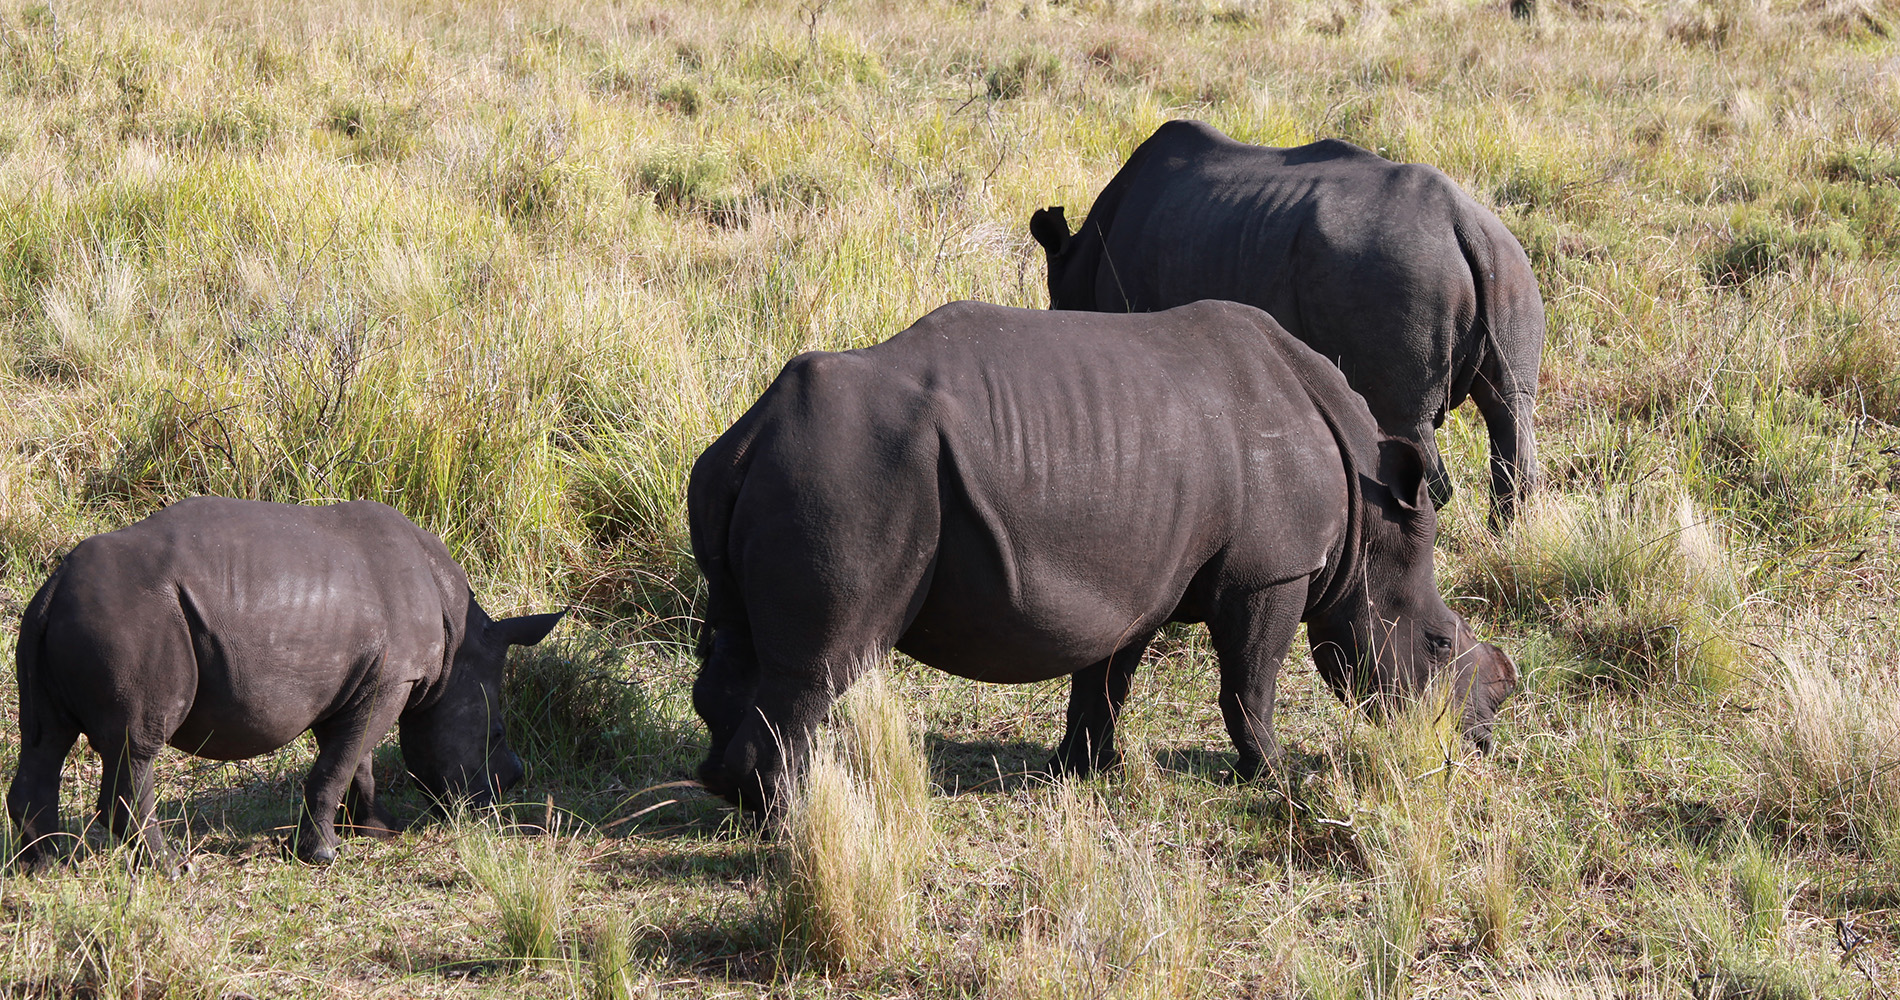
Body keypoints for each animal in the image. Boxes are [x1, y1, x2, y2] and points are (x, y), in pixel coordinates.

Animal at [13, 498, 562, 870]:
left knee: (46, 740)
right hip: (131, 619)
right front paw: (323, 854)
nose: (492, 803)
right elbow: (339, 764)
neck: (459, 646)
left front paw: (375, 832)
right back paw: (170, 869)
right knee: (137, 745)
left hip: (57, 620)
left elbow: (353, 760)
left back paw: (41, 866)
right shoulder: (393, 679)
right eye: (495, 736)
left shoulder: (359, 681)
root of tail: (53, 585)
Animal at [684, 300, 1512, 813]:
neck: (1367, 515)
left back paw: (729, 794)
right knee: (820, 670)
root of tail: (755, 432)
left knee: (740, 642)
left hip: (766, 471)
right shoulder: (1272, 571)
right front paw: (1271, 776)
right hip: (848, 479)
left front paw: (1086, 770)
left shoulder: (1138, 574)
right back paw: (795, 823)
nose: (1480, 737)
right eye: (1438, 644)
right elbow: (1251, 678)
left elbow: (1107, 676)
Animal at [1041, 119, 1542, 524]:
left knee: (1408, 423)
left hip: (1401, 273)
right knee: (1510, 406)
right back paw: (1506, 540)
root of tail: (1464, 225)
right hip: (1509, 266)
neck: (1083, 254)